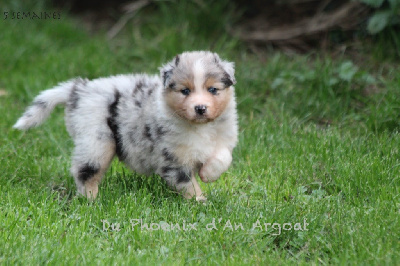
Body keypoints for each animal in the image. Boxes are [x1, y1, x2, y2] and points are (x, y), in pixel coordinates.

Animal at [13, 51, 238, 201]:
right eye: (185, 91)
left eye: (213, 89)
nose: (200, 108)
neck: (200, 127)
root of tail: (80, 89)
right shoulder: (172, 159)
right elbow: (188, 184)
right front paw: (201, 202)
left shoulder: (223, 139)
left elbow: (224, 156)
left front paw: (208, 174)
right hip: (97, 142)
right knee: (84, 171)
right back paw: (92, 199)